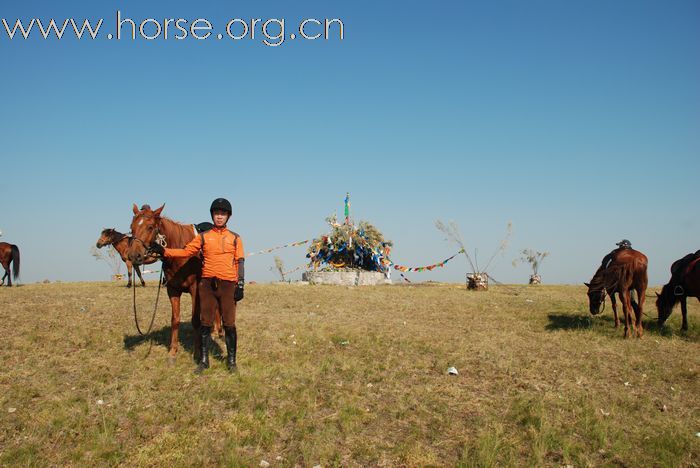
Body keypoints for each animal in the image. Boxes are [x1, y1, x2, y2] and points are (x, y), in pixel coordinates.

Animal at [126, 203, 221, 360]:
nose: (134, 256)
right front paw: (173, 351)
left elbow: (195, 320)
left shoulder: (195, 290)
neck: (181, 254)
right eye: (131, 227)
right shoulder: (173, 290)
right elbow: (175, 319)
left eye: (150, 227)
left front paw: (197, 352)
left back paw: (219, 332)